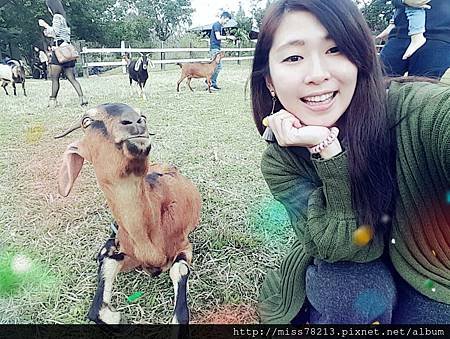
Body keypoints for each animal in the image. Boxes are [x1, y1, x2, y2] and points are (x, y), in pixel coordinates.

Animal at [55, 104, 201, 326]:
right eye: (87, 121)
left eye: (143, 116)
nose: (134, 121)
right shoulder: (126, 254)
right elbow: (97, 306)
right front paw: (112, 314)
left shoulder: (184, 245)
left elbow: (180, 272)